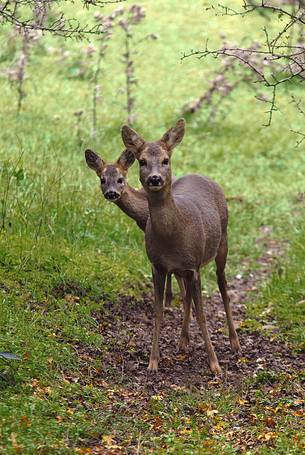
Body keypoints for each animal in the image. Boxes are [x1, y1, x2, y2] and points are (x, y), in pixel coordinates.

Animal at [120, 118, 240, 374]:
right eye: (142, 161)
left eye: (166, 159)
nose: (155, 179)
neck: (173, 236)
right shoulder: (157, 265)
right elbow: (159, 311)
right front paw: (152, 362)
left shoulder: (193, 265)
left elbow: (202, 314)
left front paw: (215, 365)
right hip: (183, 269)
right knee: (186, 299)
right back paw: (183, 341)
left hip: (222, 243)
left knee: (223, 287)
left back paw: (234, 341)